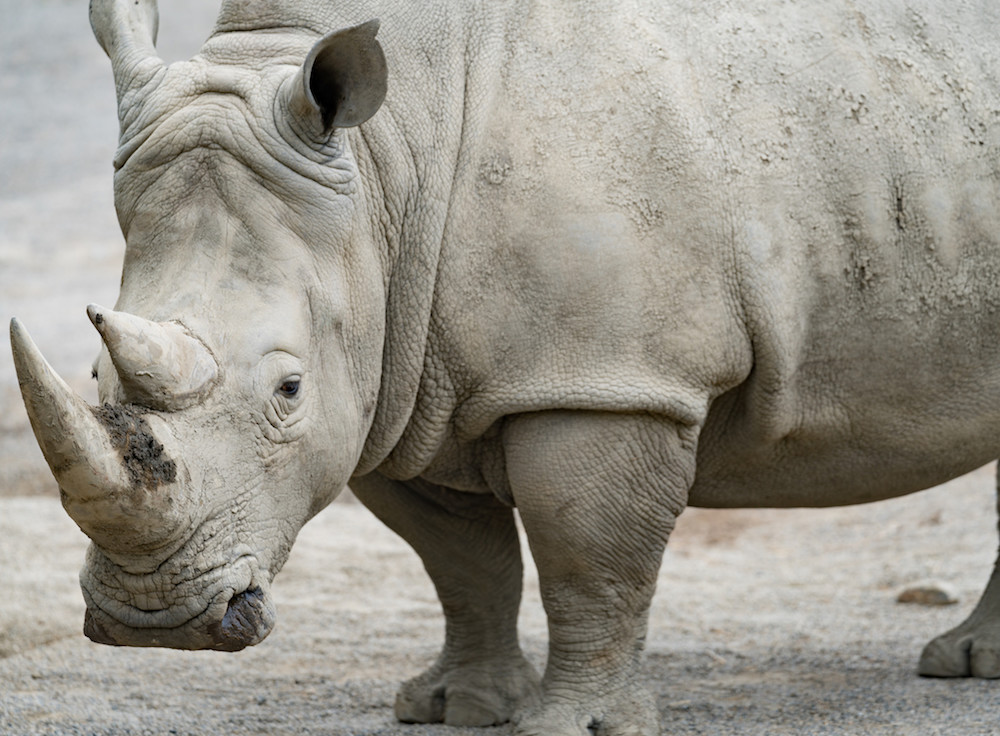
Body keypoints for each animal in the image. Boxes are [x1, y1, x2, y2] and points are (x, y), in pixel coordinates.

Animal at [7, 0, 1000, 732]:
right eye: (92, 379)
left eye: (289, 391)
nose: (153, 622)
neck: (385, 167)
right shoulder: (396, 383)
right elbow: (461, 561)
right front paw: (457, 708)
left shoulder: (603, 379)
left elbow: (589, 559)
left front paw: (577, 726)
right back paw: (968, 665)